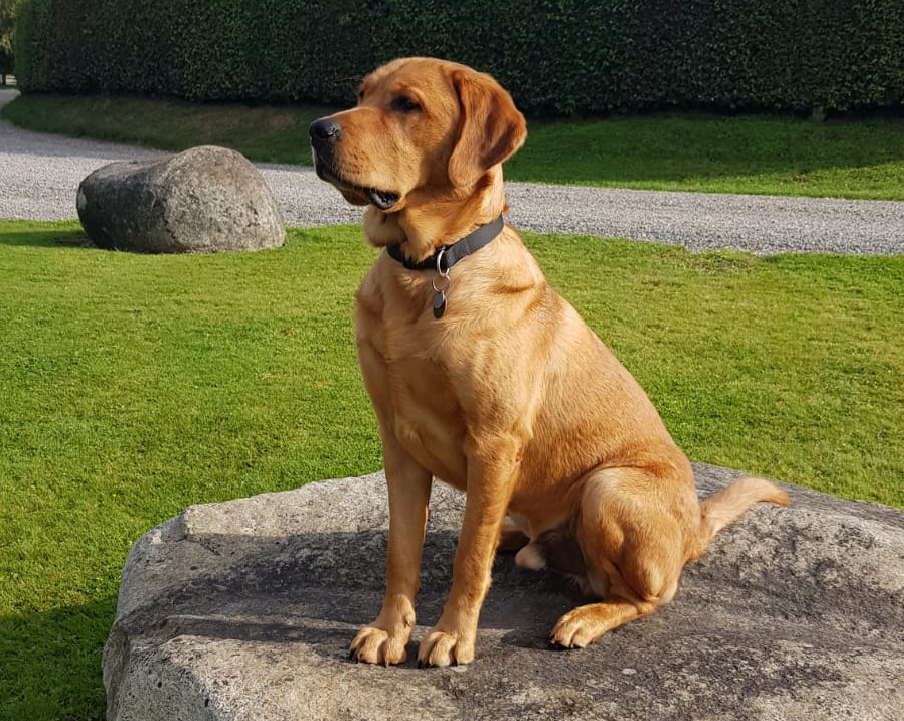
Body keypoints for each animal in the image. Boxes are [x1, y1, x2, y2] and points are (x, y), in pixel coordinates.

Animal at [308, 57, 784, 668]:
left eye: (407, 104)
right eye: (362, 94)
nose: (317, 130)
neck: (428, 270)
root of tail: (695, 526)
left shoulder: (494, 441)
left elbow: (468, 560)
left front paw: (452, 635)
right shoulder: (398, 438)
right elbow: (402, 551)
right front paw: (390, 628)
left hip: (608, 488)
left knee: (646, 595)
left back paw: (585, 616)